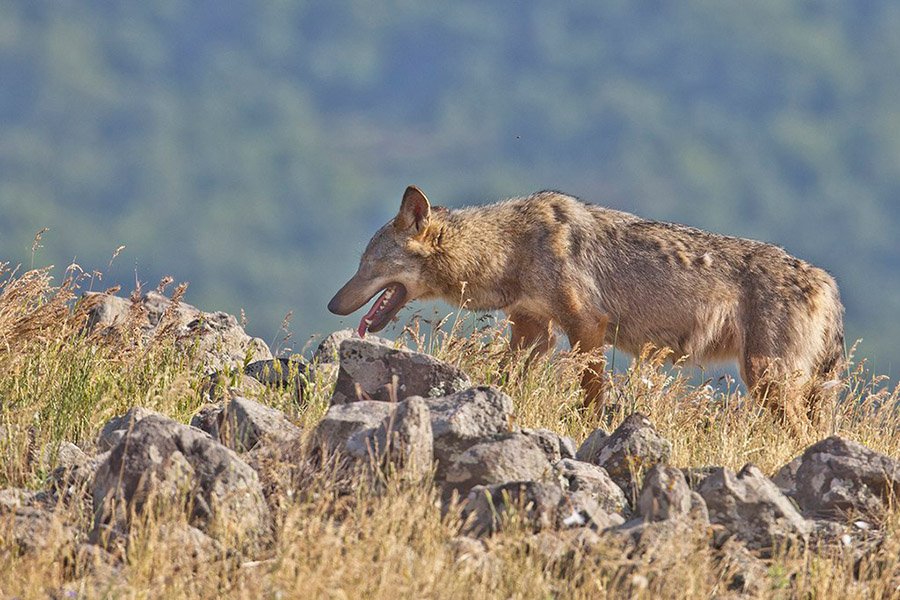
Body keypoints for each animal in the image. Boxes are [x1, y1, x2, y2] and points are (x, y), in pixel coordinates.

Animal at [328, 186, 845, 422]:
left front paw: (590, 425)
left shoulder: (587, 327)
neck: (510, 248)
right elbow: (505, 377)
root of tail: (828, 280)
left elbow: (591, 394)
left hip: (766, 381)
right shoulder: (533, 331)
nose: (333, 305)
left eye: (371, 265)